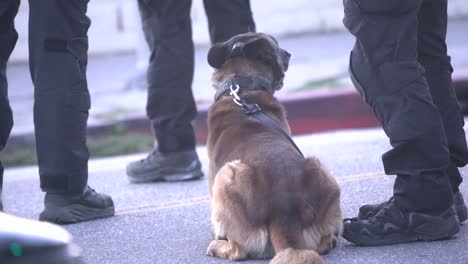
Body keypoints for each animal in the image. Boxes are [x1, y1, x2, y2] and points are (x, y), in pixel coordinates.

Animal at [207, 33, 342, 264]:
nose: (288, 53)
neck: (243, 90)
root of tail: (284, 210)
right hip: (322, 170)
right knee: (325, 241)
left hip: (225, 176)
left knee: (237, 251)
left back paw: (217, 246)